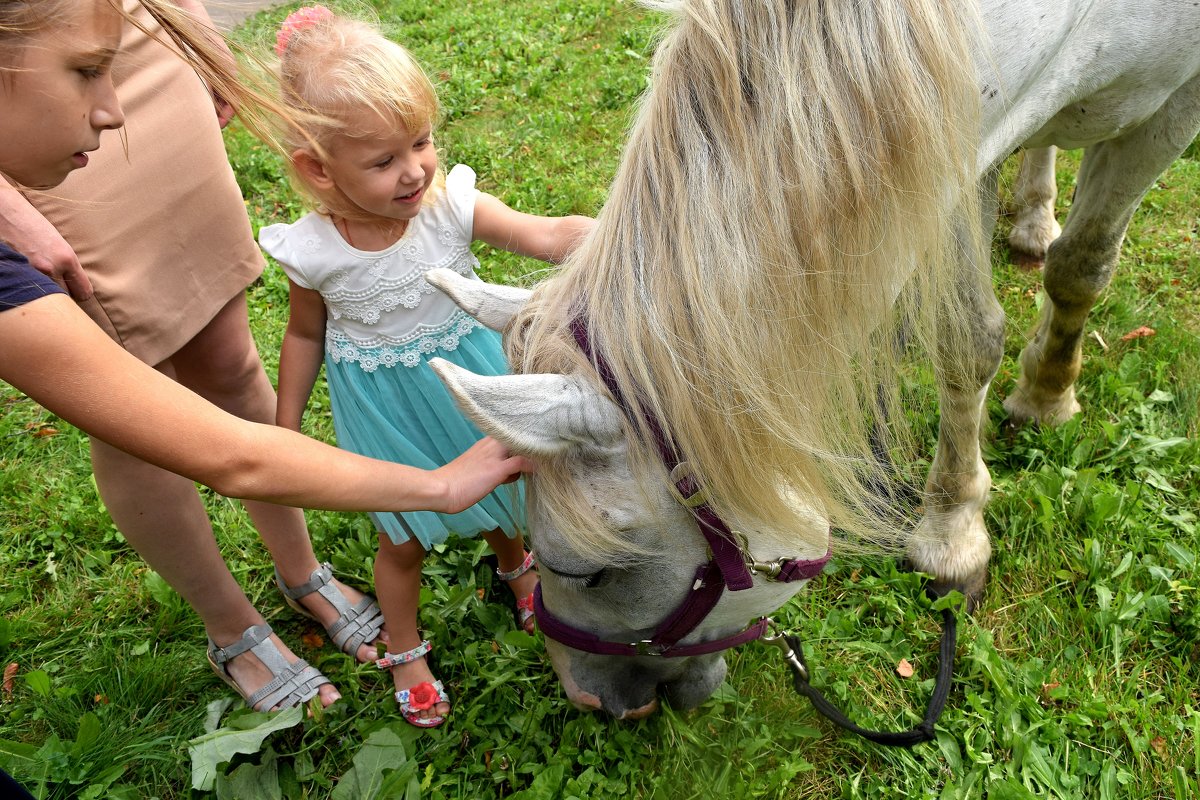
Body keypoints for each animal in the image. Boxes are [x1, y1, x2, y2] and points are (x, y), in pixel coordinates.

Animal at [427, 0, 1195, 714]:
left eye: (585, 572)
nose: (587, 695)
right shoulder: (951, 149)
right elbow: (967, 339)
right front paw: (956, 524)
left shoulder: (1167, 117)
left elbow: (1081, 270)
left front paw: (1037, 408)